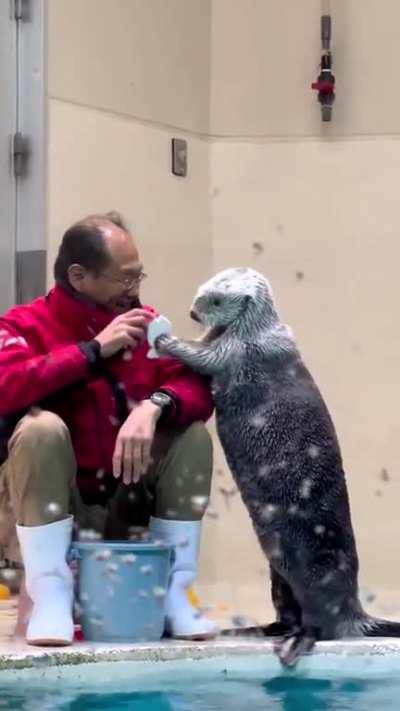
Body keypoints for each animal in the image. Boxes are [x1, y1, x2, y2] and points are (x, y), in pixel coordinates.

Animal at [148, 267, 400, 666]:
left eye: (216, 299)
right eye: (203, 289)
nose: (192, 312)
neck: (257, 330)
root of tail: (355, 612)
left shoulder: (238, 351)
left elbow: (201, 356)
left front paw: (163, 338)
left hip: (311, 576)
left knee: (320, 625)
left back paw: (295, 644)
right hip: (278, 575)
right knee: (287, 611)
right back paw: (254, 630)